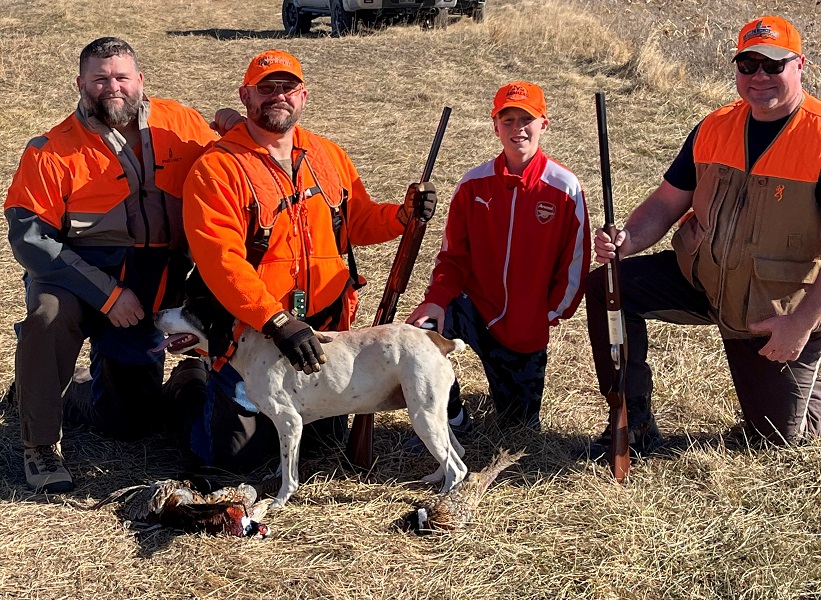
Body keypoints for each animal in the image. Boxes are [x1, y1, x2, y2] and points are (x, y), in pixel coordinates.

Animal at [153, 294, 468, 506]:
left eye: (189, 309)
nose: (155, 313)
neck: (248, 344)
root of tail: (439, 341)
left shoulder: (289, 422)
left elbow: (289, 476)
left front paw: (279, 501)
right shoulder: (292, 427)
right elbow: (285, 461)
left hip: (423, 417)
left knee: (458, 468)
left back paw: (444, 498)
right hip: (431, 414)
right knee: (457, 451)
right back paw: (435, 478)